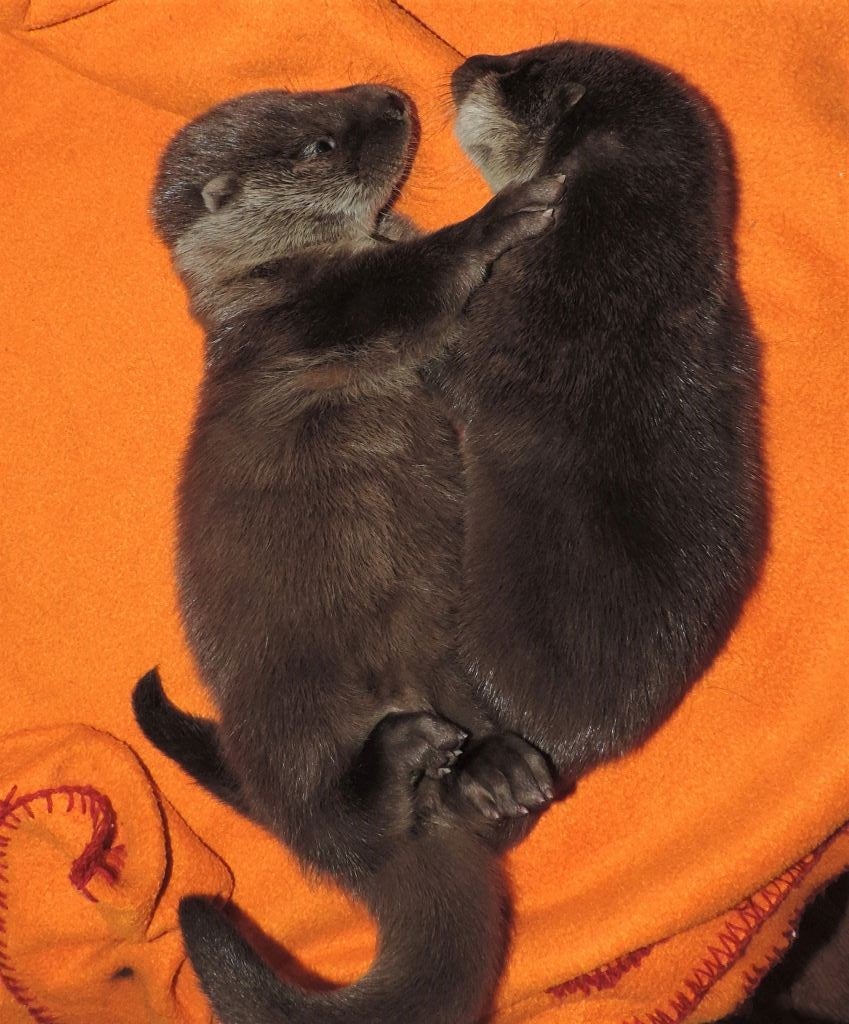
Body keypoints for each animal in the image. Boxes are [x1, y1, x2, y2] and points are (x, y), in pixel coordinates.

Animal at [132, 85, 562, 1024]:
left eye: (308, 92)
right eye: (318, 144)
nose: (394, 97)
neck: (269, 285)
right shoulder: (325, 313)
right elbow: (420, 277)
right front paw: (504, 211)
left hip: (446, 666)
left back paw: (498, 773)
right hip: (287, 715)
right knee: (336, 823)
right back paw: (399, 761)